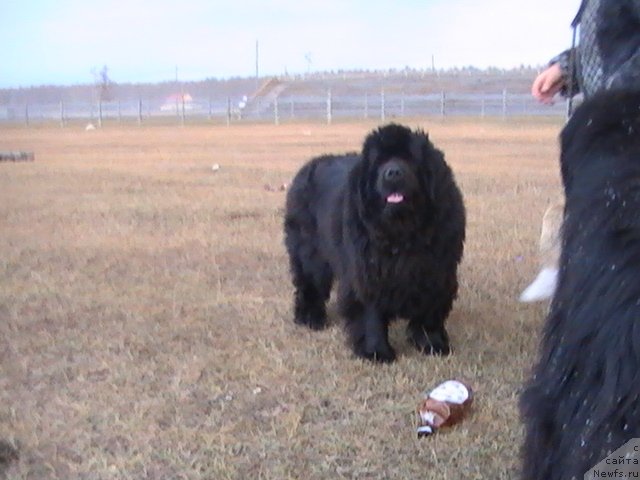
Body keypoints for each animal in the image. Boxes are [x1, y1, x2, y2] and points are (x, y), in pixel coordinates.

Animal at [282, 125, 462, 362]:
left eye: (410, 159)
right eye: (379, 162)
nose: (393, 172)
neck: (402, 231)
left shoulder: (436, 271)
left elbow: (430, 309)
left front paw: (431, 343)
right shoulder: (367, 272)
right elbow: (370, 313)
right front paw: (376, 351)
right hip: (309, 253)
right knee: (310, 283)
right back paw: (310, 318)